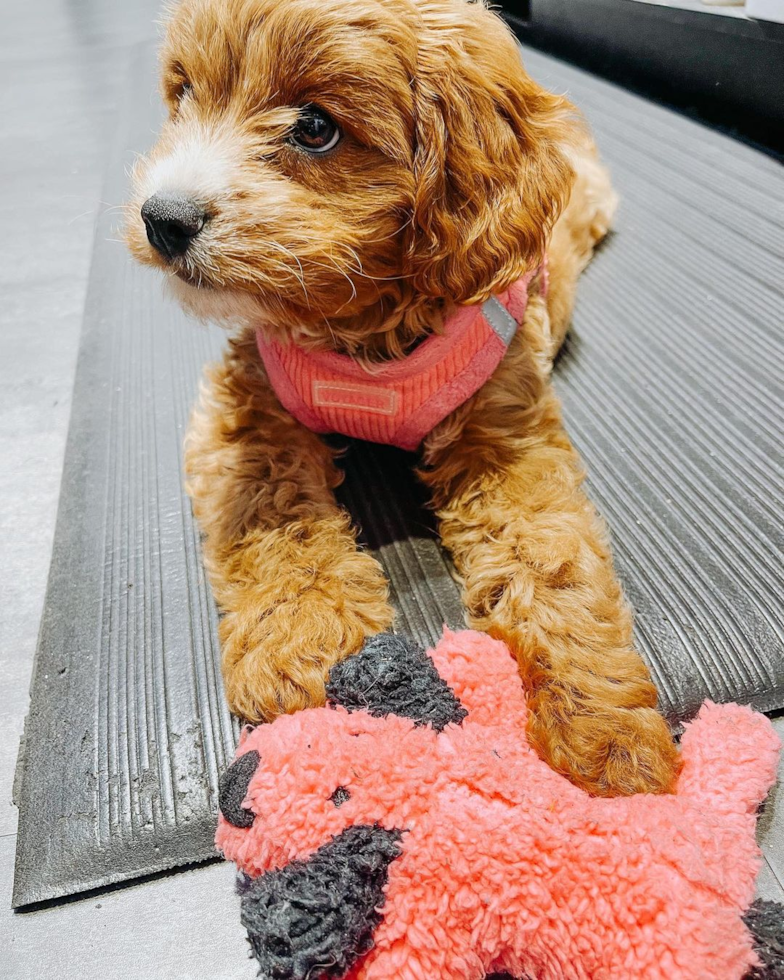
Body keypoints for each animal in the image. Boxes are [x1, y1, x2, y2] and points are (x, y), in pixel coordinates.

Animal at [127, 0, 680, 796]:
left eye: (315, 128)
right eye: (185, 94)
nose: (162, 219)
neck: (363, 326)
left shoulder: (505, 428)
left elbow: (551, 557)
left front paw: (606, 724)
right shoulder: (250, 400)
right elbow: (272, 516)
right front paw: (301, 636)